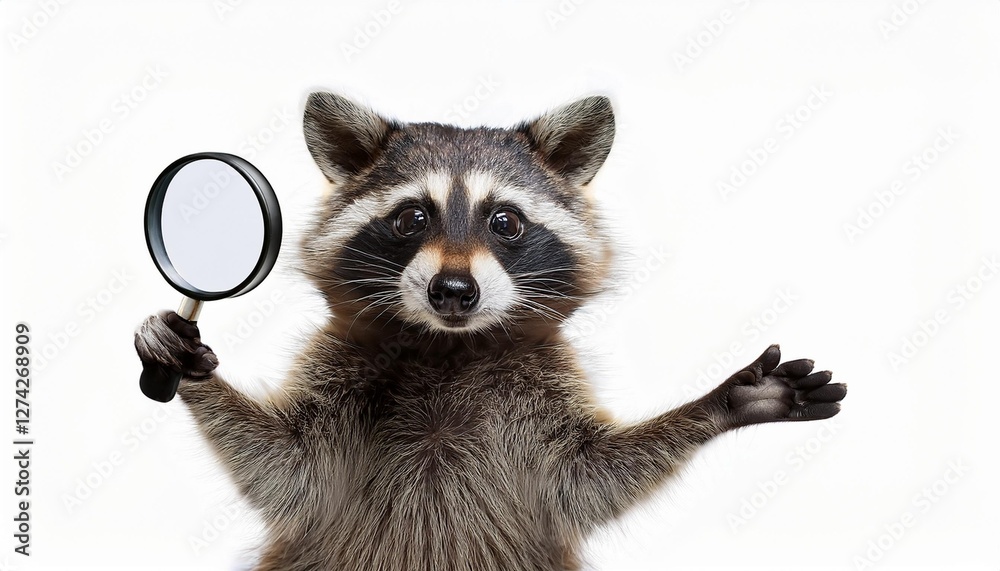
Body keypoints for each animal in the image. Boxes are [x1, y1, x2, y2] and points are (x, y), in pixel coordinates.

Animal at [134, 92, 846, 571]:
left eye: (505, 221)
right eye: (411, 217)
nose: (453, 291)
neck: (448, 346)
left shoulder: (540, 383)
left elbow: (586, 478)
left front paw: (720, 403)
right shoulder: (342, 366)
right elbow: (288, 467)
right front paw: (187, 366)